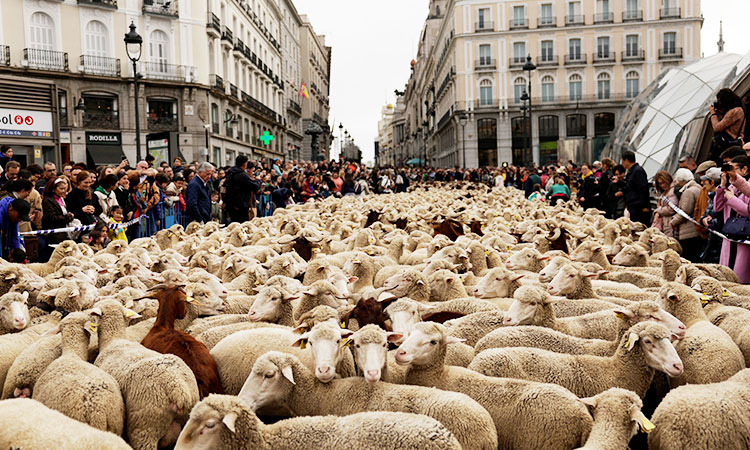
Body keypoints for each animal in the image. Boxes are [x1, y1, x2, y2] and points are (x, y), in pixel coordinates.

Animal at [396, 322, 596, 450]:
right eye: (409, 334)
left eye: (433, 341)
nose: (400, 353)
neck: (438, 375)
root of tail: (583, 416)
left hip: (546, 442)